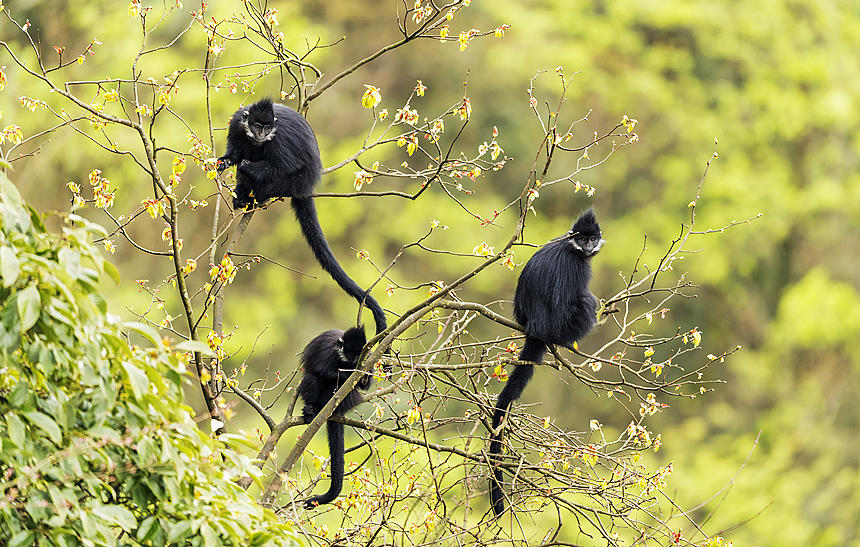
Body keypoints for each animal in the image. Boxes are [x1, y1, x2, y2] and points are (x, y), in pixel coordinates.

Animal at [218, 99, 386, 338]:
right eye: (257, 125)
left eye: (267, 128)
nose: (261, 134)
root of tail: (306, 185)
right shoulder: (236, 125)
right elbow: (234, 152)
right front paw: (224, 162)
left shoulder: (278, 141)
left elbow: (287, 164)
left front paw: (246, 166)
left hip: (291, 182)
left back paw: (255, 195)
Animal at [298, 326, 372, 510]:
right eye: (350, 352)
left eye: (359, 353)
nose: (355, 360)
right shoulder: (329, 351)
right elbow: (321, 369)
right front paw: (350, 374)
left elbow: (365, 385)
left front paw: (363, 376)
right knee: (312, 377)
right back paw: (311, 410)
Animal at [490, 208, 604, 516]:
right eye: (583, 239)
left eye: (592, 238)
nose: (589, 246)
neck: (572, 248)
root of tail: (535, 328)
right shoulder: (577, 267)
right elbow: (577, 298)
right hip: (561, 326)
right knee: (586, 301)